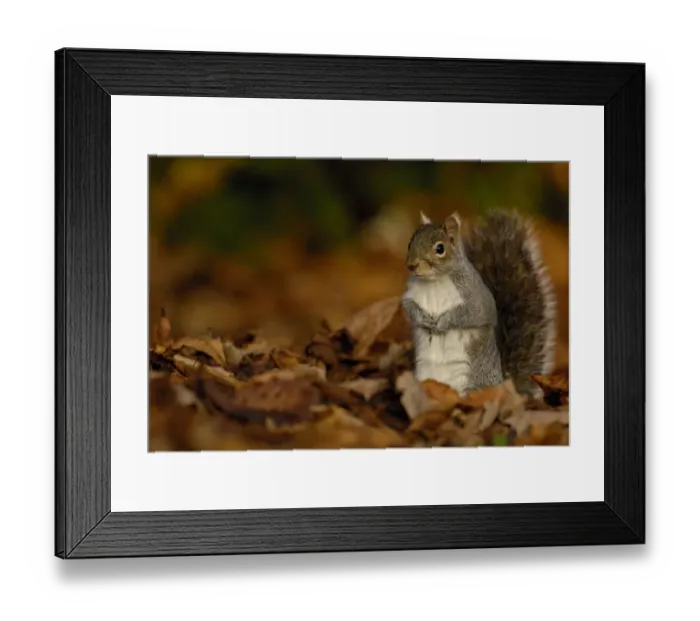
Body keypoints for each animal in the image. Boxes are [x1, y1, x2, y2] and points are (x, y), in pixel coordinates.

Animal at [401, 210, 556, 396]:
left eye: (440, 249)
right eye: (410, 243)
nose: (412, 265)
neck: (434, 282)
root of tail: (504, 385)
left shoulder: (476, 298)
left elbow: (471, 314)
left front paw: (443, 322)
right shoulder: (410, 295)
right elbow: (408, 308)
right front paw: (423, 318)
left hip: (474, 381)